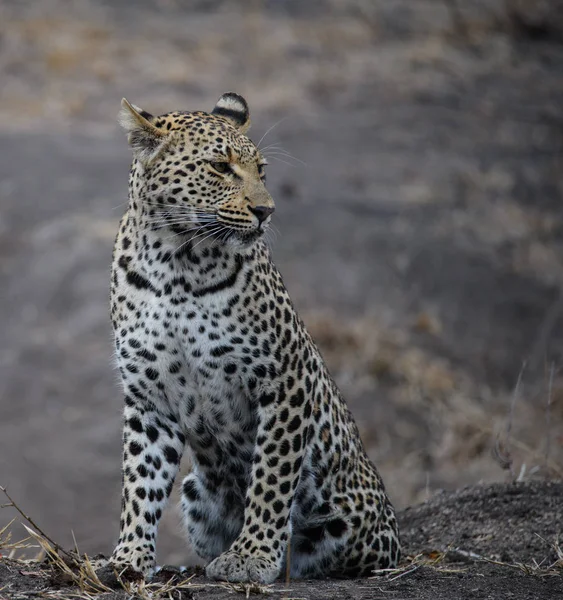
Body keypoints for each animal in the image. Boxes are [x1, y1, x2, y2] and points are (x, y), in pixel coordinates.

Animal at [109, 94, 400, 584]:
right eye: (220, 167)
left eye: (261, 170)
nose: (267, 211)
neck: (176, 264)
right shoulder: (149, 394)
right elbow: (140, 480)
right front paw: (128, 558)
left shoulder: (284, 380)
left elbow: (271, 476)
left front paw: (252, 556)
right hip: (196, 494)